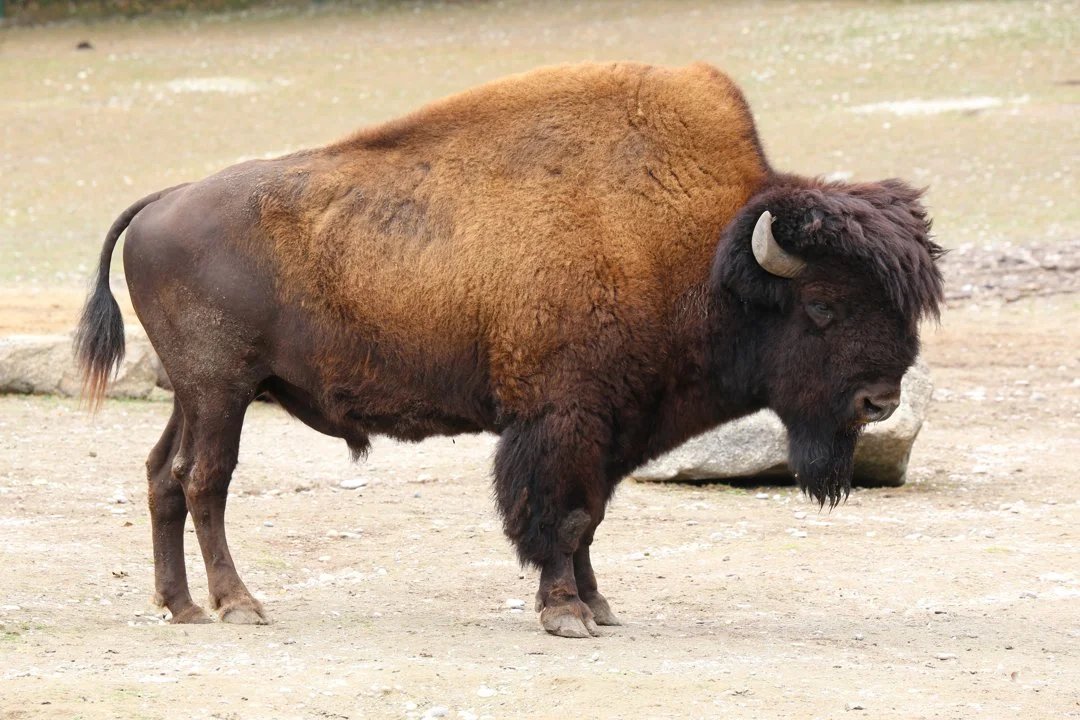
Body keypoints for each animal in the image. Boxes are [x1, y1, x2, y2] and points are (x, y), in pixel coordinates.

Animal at [75, 62, 944, 638]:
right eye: (824, 306)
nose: (880, 400)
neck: (699, 254)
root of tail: (162, 201)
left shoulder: (612, 428)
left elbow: (589, 519)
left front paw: (599, 607)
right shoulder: (562, 421)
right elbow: (558, 515)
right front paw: (566, 616)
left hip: (197, 393)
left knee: (161, 475)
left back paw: (181, 606)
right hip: (221, 390)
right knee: (203, 481)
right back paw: (238, 605)